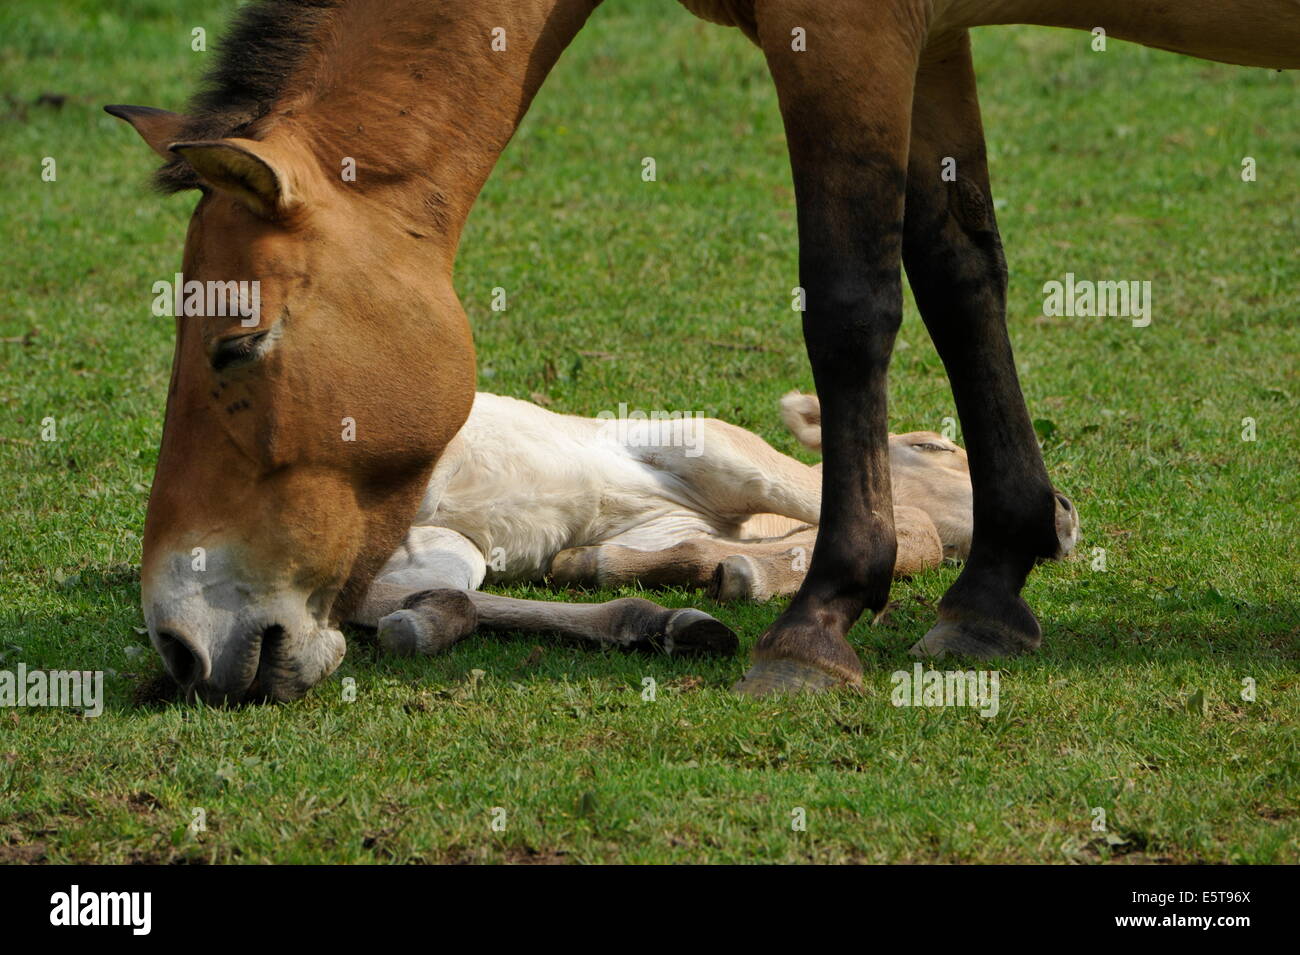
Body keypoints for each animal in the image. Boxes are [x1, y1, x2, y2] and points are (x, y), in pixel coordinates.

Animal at [106, 0, 1298, 702]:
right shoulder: (931, 34)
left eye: (233, 343)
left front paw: (817, 624)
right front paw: (991, 595)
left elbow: (851, 304)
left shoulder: (847, 33)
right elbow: (962, 274)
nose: (180, 641)